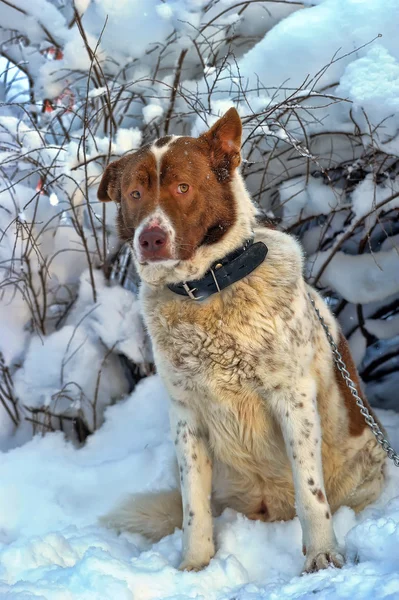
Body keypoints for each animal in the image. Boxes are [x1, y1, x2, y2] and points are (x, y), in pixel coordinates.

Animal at [97, 108, 388, 572]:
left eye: (183, 187)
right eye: (135, 193)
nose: (150, 239)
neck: (208, 288)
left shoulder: (293, 399)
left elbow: (311, 492)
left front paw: (322, 554)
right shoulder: (186, 416)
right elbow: (193, 507)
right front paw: (194, 567)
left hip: (365, 473)